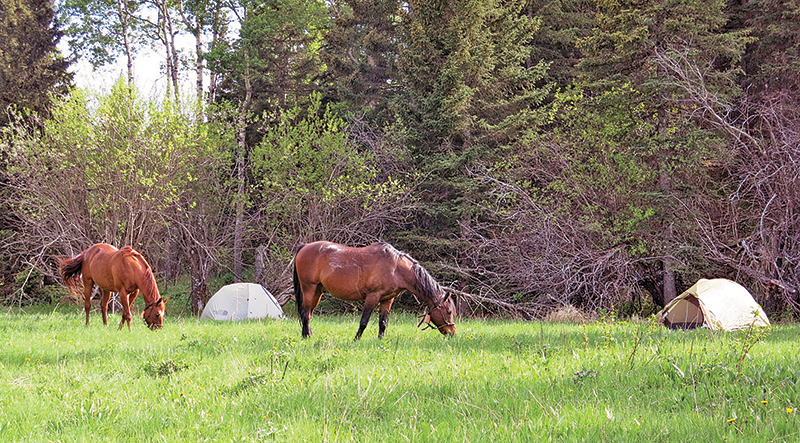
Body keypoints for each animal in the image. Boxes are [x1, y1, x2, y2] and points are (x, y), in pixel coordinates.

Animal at [292, 241, 456, 340]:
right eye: (448, 312)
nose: (452, 333)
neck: (395, 267)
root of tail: (304, 247)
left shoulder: (387, 299)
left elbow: (383, 322)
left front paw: (380, 340)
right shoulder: (373, 297)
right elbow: (364, 321)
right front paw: (356, 339)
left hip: (318, 292)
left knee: (308, 314)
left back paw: (308, 334)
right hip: (309, 289)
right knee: (305, 313)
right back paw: (306, 337)